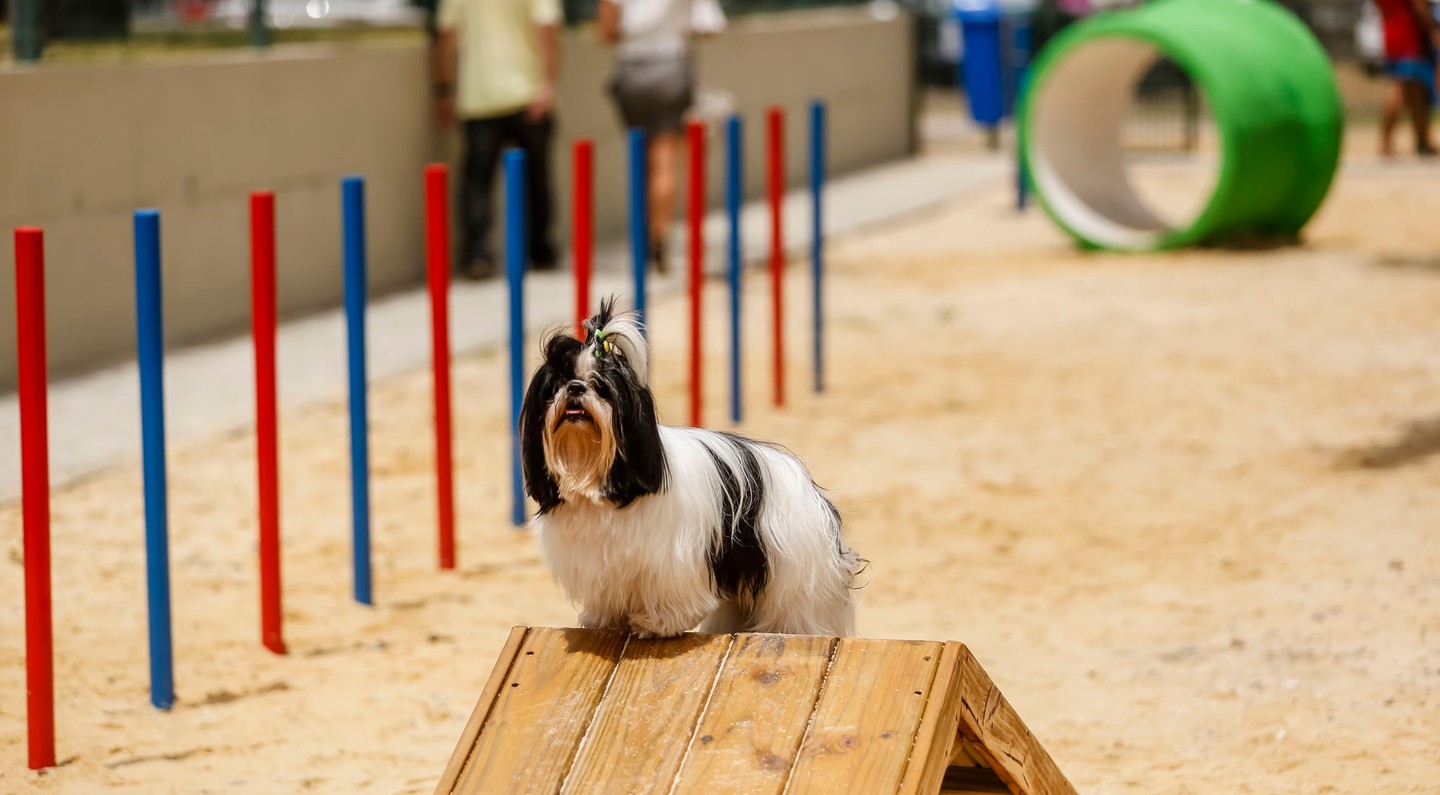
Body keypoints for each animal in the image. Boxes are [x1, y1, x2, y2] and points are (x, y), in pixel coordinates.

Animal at [521, 298, 864, 639]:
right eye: (556, 386)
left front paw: (656, 623)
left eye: (602, 387)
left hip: (793, 575)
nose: (576, 387)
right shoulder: (600, 563)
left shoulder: (669, 559)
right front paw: (604, 619)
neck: (600, 481)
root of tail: (806, 485)